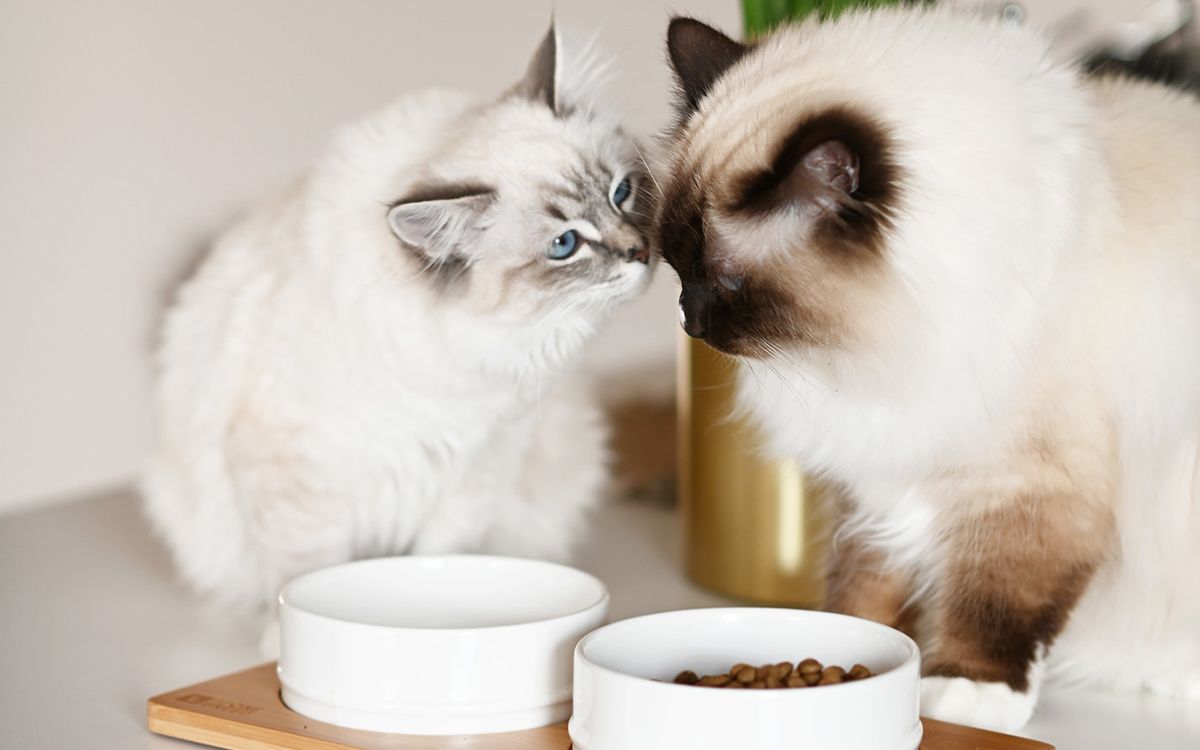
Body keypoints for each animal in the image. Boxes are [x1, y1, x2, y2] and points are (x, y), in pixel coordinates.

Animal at [142, 27, 657, 619]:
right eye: (566, 243)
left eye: (622, 192)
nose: (641, 252)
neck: (456, 354)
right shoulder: (296, 469)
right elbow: (304, 570)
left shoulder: (484, 462)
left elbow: (443, 557)